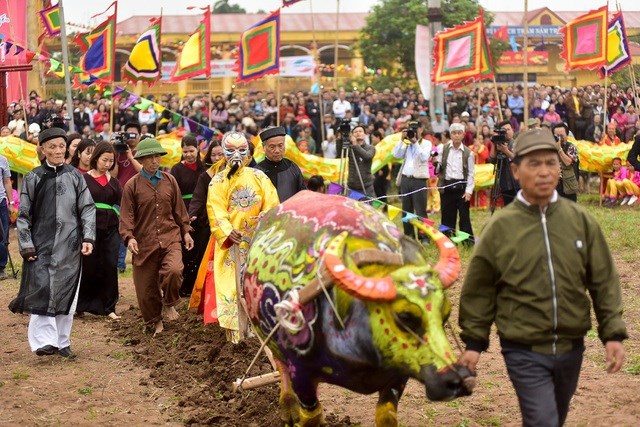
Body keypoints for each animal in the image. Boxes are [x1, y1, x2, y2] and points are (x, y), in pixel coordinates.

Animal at [245, 192, 476, 426]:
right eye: (405, 316)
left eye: (446, 313)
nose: (456, 380)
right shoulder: (300, 372)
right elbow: (312, 416)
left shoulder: (399, 374)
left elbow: (386, 416)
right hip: (271, 341)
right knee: (280, 367)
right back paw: (288, 408)